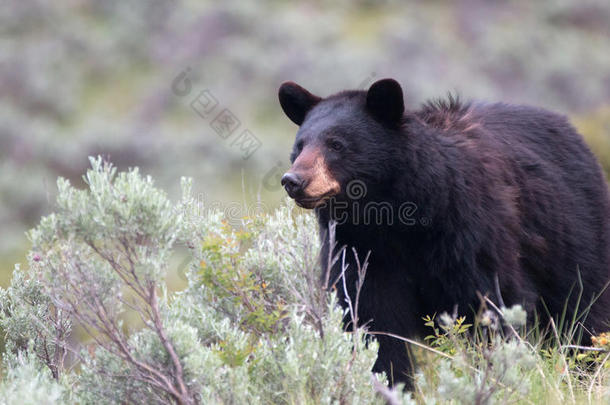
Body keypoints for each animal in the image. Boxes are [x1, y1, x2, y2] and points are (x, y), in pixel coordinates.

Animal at [276, 78, 608, 386]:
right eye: (300, 145)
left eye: (336, 144)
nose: (294, 180)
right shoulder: (359, 251)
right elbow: (371, 321)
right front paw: (389, 383)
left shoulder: (469, 231)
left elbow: (491, 303)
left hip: (575, 235)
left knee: (585, 310)